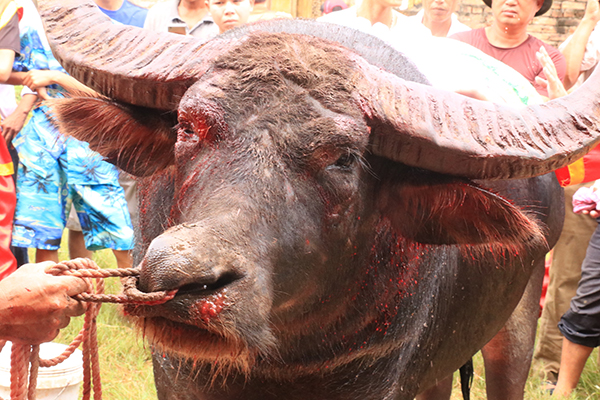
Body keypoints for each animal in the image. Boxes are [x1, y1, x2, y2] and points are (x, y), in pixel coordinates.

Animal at [38, 1, 600, 399]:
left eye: (344, 159)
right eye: (186, 126)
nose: (185, 281)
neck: (283, 361)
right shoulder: (177, 375)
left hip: (517, 326)